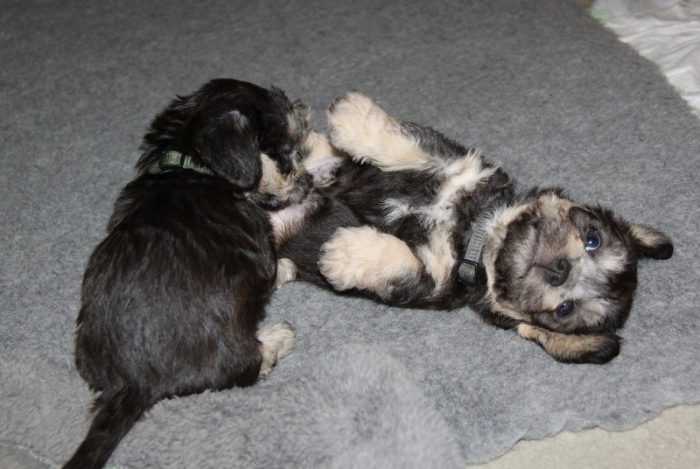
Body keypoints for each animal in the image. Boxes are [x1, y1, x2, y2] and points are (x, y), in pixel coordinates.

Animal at [63, 79, 311, 469]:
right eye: (288, 153)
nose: (310, 181)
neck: (193, 166)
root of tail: (134, 381)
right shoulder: (260, 245)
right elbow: (272, 269)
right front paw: (287, 267)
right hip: (231, 353)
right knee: (245, 366)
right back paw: (276, 340)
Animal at [277, 91, 674, 364]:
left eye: (565, 310)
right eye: (593, 239)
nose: (560, 271)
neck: (477, 233)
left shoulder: (434, 279)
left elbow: (397, 261)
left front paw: (346, 253)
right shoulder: (456, 164)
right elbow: (407, 143)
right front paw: (354, 117)